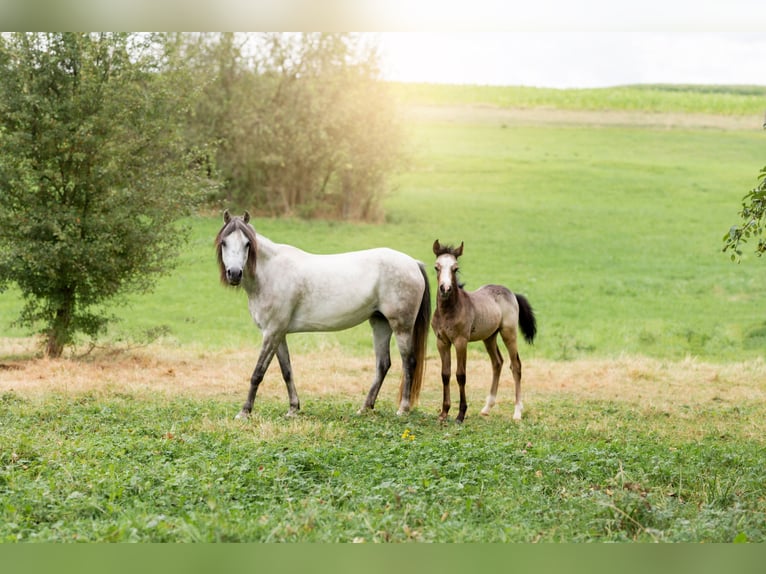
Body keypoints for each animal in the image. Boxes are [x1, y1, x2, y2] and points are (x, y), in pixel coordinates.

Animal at [216, 212, 432, 418]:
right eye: (224, 242)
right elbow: (286, 371)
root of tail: (413, 263)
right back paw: (365, 408)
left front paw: (245, 411)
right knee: (383, 364)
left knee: (409, 362)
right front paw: (293, 409)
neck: (270, 273)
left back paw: (403, 409)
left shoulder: (272, 332)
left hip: (401, 326)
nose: (234, 273)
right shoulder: (278, 333)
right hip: (380, 323)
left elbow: (258, 372)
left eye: (247, 244)